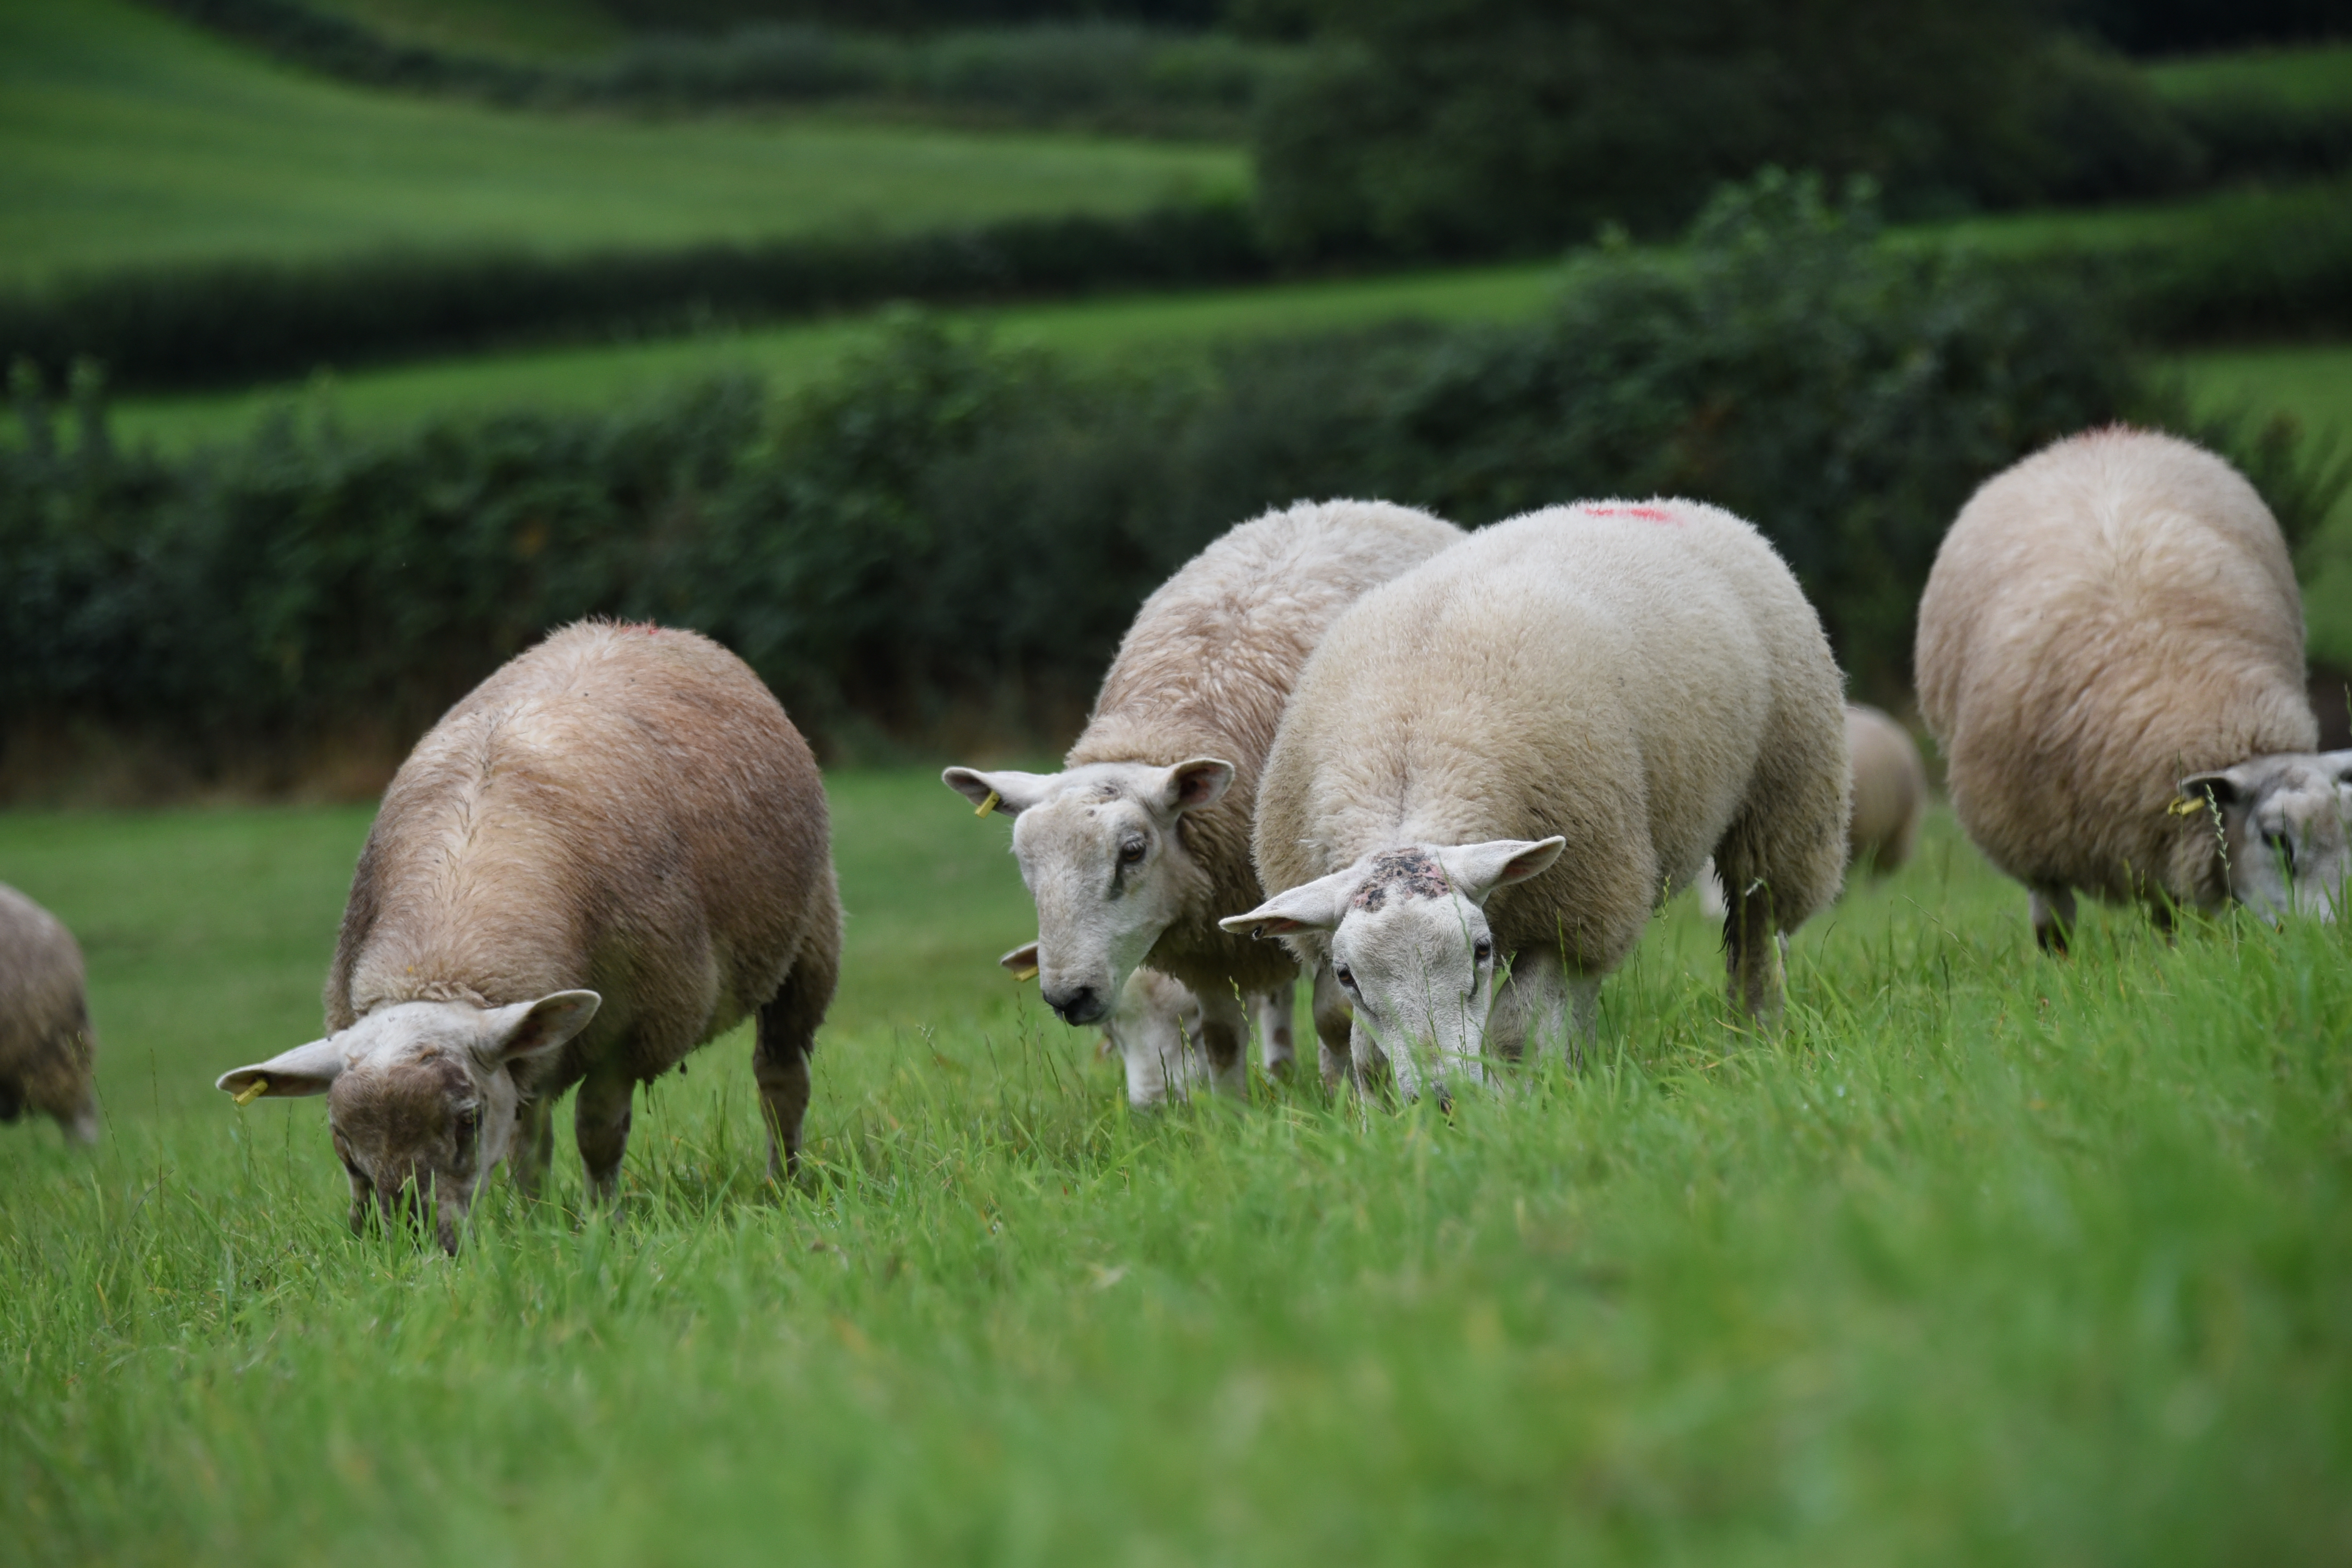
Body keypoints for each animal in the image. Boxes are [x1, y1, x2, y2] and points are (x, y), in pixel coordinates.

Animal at [217, 621, 840, 1253]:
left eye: (466, 1119)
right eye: (340, 1137)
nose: (415, 1249)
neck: (444, 960)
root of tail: (624, 625)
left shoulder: (632, 1033)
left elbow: (598, 1132)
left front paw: (604, 1222)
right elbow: (527, 1146)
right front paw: (533, 1227)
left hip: (811, 938)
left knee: (781, 1075)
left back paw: (784, 1182)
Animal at [944, 499, 1461, 1091]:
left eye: (1133, 852)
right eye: (1023, 861)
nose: (1069, 996)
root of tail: (1354, 505)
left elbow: (1334, 1020)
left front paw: (1344, 1099)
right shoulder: (1212, 945)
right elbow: (1221, 1039)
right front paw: (1233, 1111)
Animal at [1222, 499, 1849, 1098]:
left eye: (1481, 949)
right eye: (1348, 974)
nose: (1443, 1096)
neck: (1409, 751)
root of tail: (1678, 505)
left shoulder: (1576, 910)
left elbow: (1513, 1028)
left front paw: (1508, 1104)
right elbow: (1358, 1046)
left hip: (1784, 806)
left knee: (1759, 930)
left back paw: (1754, 1034)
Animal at [1914, 427, 2349, 948]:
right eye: (2275, 839)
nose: (2332, 936)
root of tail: (2098, 438)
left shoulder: (2156, 840)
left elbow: (2170, 916)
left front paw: (2173, 957)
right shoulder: (2032, 845)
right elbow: (2054, 927)